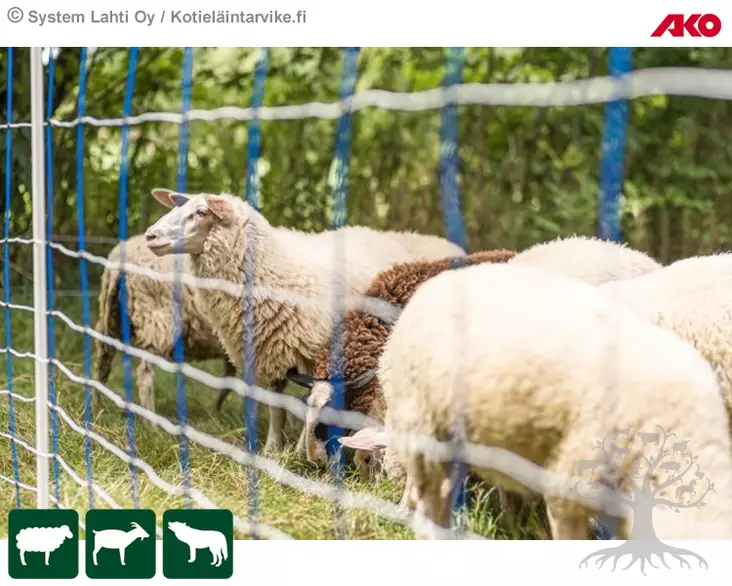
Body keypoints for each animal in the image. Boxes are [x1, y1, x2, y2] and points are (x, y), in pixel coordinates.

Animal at [93, 233, 238, 414]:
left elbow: (229, 380)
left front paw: (215, 411)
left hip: (111, 317)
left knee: (102, 364)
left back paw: (97, 408)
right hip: (158, 322)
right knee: (144, 373)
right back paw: (149, 418)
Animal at [143, 188, 464, 451]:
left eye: (201, 212)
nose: (150, 236)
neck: (274, 269)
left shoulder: (314, 355)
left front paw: (298, 452)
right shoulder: (267, 353)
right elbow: (277, 409)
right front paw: (273, 449)